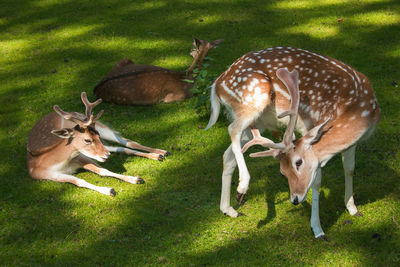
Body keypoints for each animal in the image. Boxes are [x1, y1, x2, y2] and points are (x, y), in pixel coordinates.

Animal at [27, 93, 169, 196]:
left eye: (97, 136)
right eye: (87, 140)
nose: (106, 155)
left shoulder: (80, 157)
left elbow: (103, 170)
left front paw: (135, 179)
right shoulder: (47, 175)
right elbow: (79, 181)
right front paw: (109, 190)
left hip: (102, 128)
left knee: (127, 141)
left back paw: (162, 151)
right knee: (121, 148)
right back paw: (158, 155)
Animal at [94, 38, 225, 105]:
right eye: (192, 47)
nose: (190, 52)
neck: (186, 78)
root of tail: (96, 89)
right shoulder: (175, 96)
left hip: (124, 60)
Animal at [206, 47, 382, 240]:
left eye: (297, 163)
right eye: (282, 172)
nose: (295, 199)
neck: (357, 111)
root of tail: (217, 83)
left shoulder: (353, 143)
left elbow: (349, 168)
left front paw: (352, 208)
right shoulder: (310, 126)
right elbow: (317, 181)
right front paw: (318, 230)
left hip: (258, 121)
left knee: (227, 154)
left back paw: (230, 209)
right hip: (252, 98)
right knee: (232, 129)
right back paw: (242, 186)